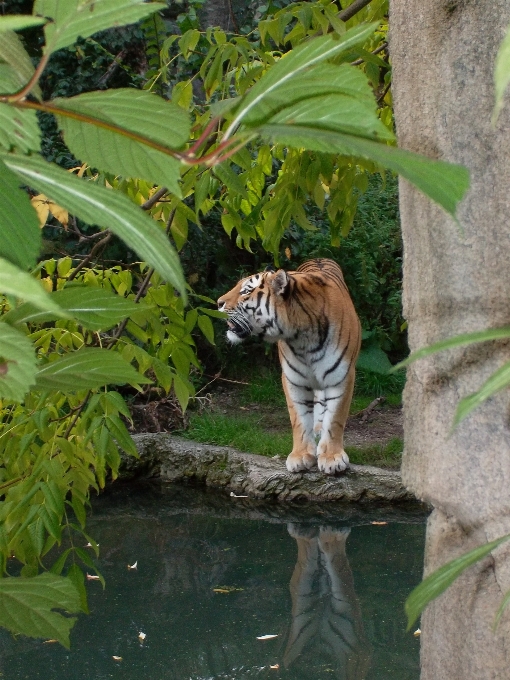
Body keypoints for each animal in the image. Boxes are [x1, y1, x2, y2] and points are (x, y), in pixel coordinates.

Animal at [217, 258, 360, 476]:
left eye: (245, 291)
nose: (218, 303)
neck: (303, 337)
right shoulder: (293, 380)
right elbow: (299, 419)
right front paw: (301, 456)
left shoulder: (341, 377)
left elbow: (335, 418)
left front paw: (332, 458)